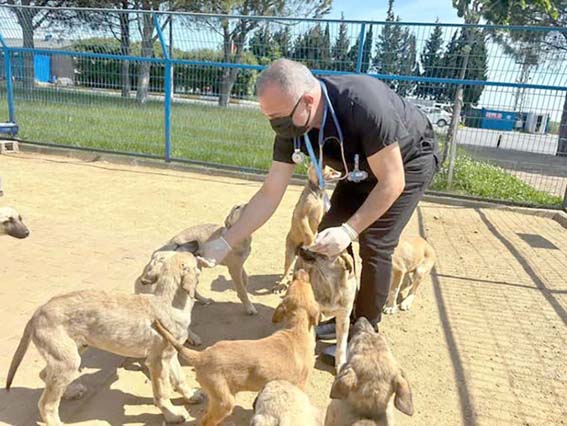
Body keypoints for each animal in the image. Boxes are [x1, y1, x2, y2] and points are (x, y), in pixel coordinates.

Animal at [6, 251, 204, 424]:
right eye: (194, 260)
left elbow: (180, 378)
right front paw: (172, 414)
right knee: (46, 404)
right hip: (67, 360)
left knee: (45, 374)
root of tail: (38, 311)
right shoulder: (157, 361)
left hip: (71, 352)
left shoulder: (170, 354)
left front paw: (190, 395)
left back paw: (70, 392)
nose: (198, 254)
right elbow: (162, 392)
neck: (168, 302)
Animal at [153, 270, 322, 426]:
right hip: (224, 402)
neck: (296, 329)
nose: (301, 271)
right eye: (297, 282)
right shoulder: (300, 385)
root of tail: (201, 356)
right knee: (205, 421)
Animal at [272, 164, 340, 292]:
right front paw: (311, 242)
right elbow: (308, 233)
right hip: (290, 252)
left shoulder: (323, 213)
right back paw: (281, 284)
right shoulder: (301, 215)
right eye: (331, 170)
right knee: (286, 269)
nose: (339, 172)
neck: (318, 192)